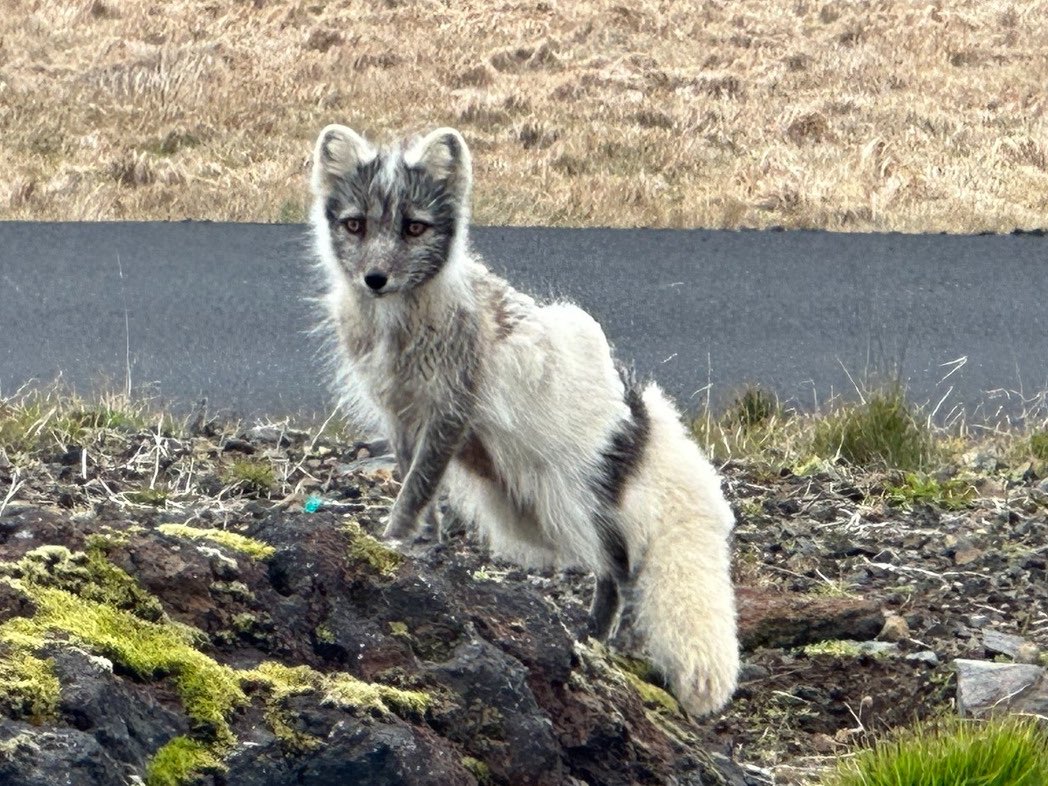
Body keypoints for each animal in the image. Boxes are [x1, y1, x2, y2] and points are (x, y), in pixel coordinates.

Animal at [308, 124, 739, 716]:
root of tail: (639, 413)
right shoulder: (401, 412)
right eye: (356, 224)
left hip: (568, 499)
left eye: (414, 227)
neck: (400, 325)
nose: (375, 278)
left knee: (622, 566)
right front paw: (420, 544)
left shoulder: (451, 410)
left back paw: (594, 639)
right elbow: (419, 486)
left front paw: (390, 539)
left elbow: (416, 486)